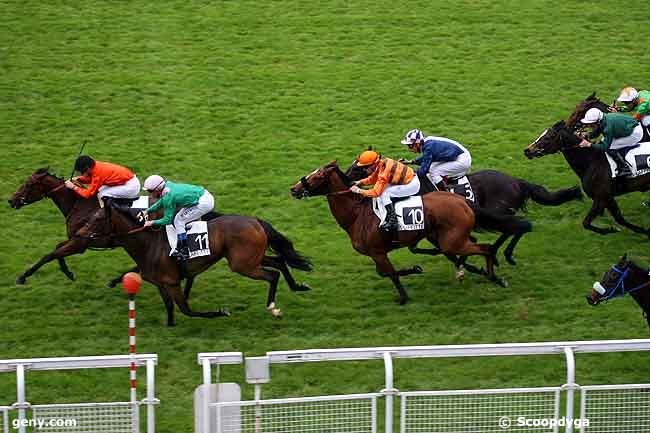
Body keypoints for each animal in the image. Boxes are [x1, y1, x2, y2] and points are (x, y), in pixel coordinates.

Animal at [78, 206, 312, 324]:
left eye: (97, 219)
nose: (79, 233)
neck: (149, 244)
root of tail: (255, 221)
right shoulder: (161, 283)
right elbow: (170, 306)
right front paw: (170, 325)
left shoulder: (172, 282)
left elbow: (187, 309)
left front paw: (220, 313)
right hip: (252, 258)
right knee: (279, 262)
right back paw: (297, 286)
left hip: (242, 264)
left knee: (272, 275)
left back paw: (273, 308)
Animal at [288, 159, 528, 304]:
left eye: (316, 177)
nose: (294, 189)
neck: (357, 214)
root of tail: (462, 201)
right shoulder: (379, 253)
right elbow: (386, 272)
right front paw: (415, 268)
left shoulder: (377, 252)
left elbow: (390, 273)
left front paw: (403, 295)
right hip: (451, 237)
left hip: (452, 240)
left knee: (484, 247)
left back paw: (494, 275)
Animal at [344, 162, 576, 264]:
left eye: (356, 167)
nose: (346, 176)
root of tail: (517, 182)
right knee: (513, 227)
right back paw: (500, 253)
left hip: (497, 210)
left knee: (511, 227)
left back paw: (503, 253)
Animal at [520, 120, 648, 235]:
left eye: (548, 137)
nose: (527, 150)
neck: (592, 162)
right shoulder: (608, 197)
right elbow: (619, 218)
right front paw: (642, 230)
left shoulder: (601, 197)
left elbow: (586, 223)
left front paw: (609, 230)